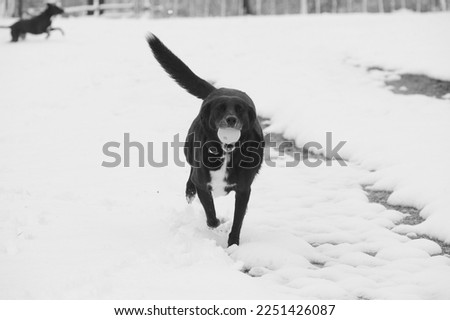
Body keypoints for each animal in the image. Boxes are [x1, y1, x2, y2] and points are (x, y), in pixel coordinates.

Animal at [148, 33, 266, 246]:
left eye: (240, 110)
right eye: (220, 108)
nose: (231, 119)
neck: (226, 150)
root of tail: (217, 89)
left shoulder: (244, 189)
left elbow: (238, 219)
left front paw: (233, 244)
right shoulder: (203, 184)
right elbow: (210, 213)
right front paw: (216, 225)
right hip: (189, 151)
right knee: (190, 174)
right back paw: (189, 191)